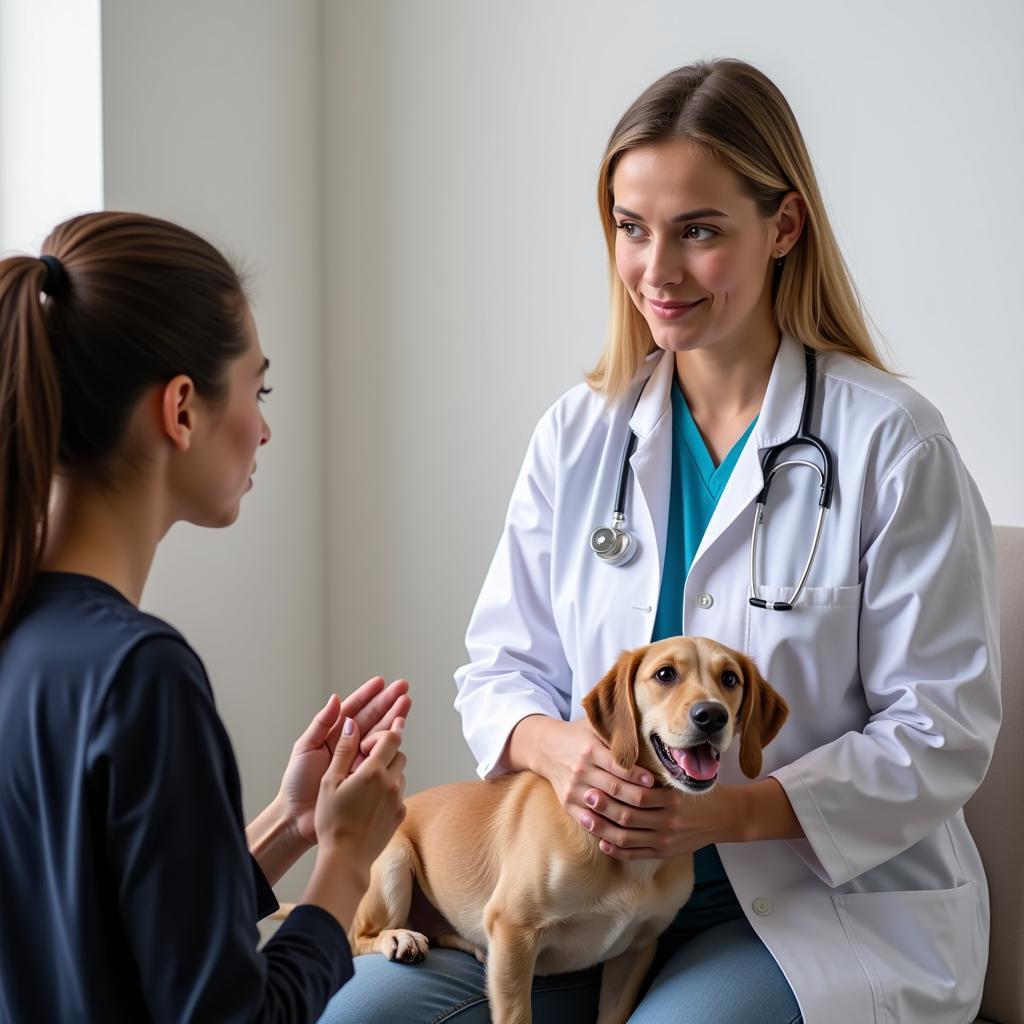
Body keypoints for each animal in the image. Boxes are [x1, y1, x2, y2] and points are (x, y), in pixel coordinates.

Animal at [348, 638, 786, 1024]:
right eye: (665, 674)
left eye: (729, 679)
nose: (711, 716)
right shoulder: (514, 932)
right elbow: (516, 1015)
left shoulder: (635, 950)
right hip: (394, 864)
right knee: (357, 937)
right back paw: (398, 938)